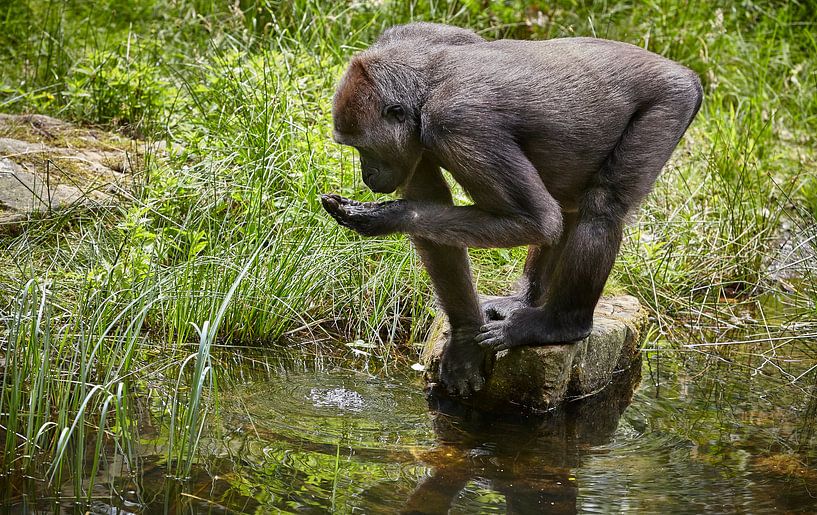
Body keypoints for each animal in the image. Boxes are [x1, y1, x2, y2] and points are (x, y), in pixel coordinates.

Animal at [322, 22, 702, 398]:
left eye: (364, 147)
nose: (367, 175)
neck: (423, 89)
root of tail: (683, 72)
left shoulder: (459, 126)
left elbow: (534, 220)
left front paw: (386, 218)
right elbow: (435, 216)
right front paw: (464, 339)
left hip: (672, 101)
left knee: (601, 207)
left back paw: (559, 323)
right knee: (568, 206)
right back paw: (526, 300)